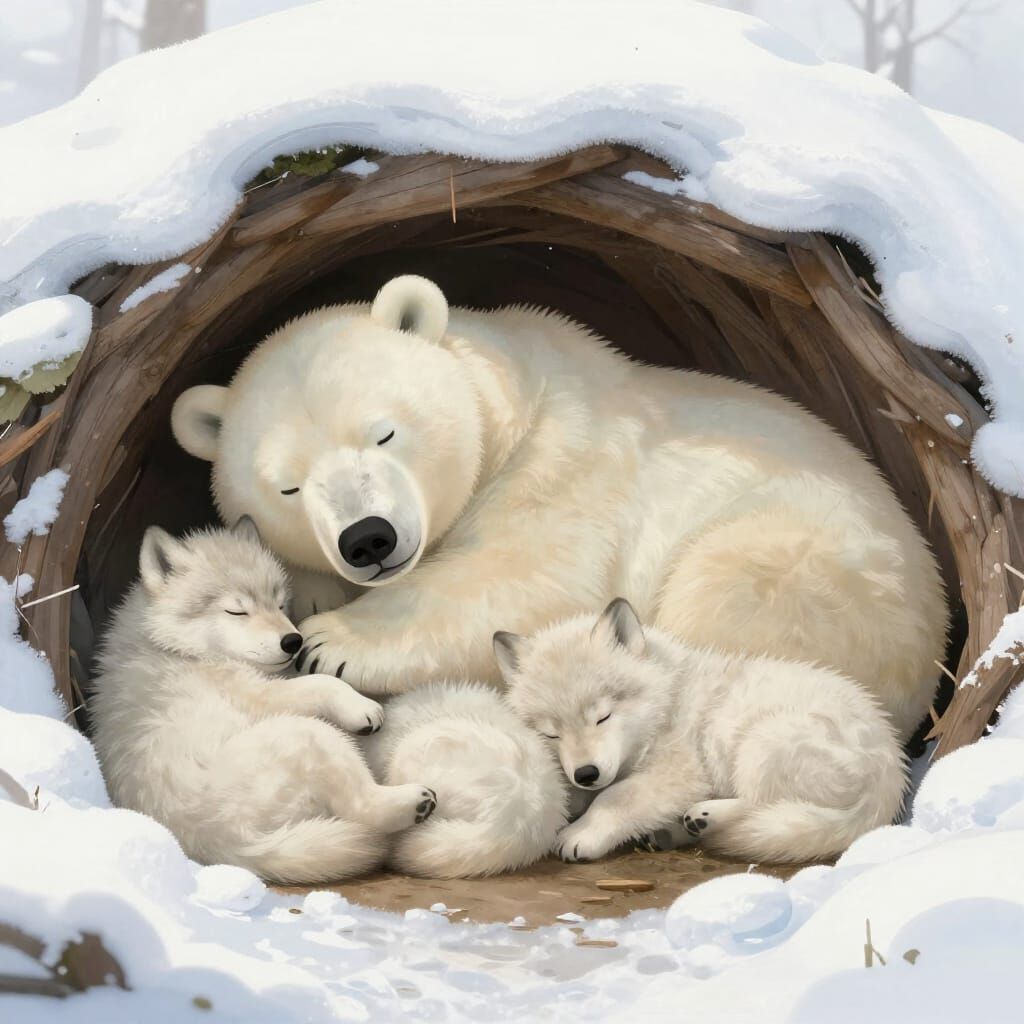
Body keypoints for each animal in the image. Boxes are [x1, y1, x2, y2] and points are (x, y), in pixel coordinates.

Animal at [90, 517, 437, 884]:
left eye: (280, 603)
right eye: (237, 611)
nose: (293, 642)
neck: (176, 648)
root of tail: (228, 847)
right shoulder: (257, 695)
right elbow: (321, 683)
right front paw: (361, 707)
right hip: (308, 734)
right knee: (362, 807)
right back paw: (413, 802)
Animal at [172, 274, 947, 740]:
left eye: (384, 432)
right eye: (289, 485)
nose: (368, 538)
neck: (518, 397)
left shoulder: (562, 466)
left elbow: (525, 580)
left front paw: (336, 642)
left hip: (803, 572)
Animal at [495, 599, 907, 864]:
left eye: (603, 717)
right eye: (552, 734)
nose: (585, 773)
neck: (667, 702)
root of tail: (892, 772)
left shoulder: (679, 773)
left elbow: (616, 798)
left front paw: (583, 833)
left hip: (761, 743)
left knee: (765, 806)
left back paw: (702, 818)